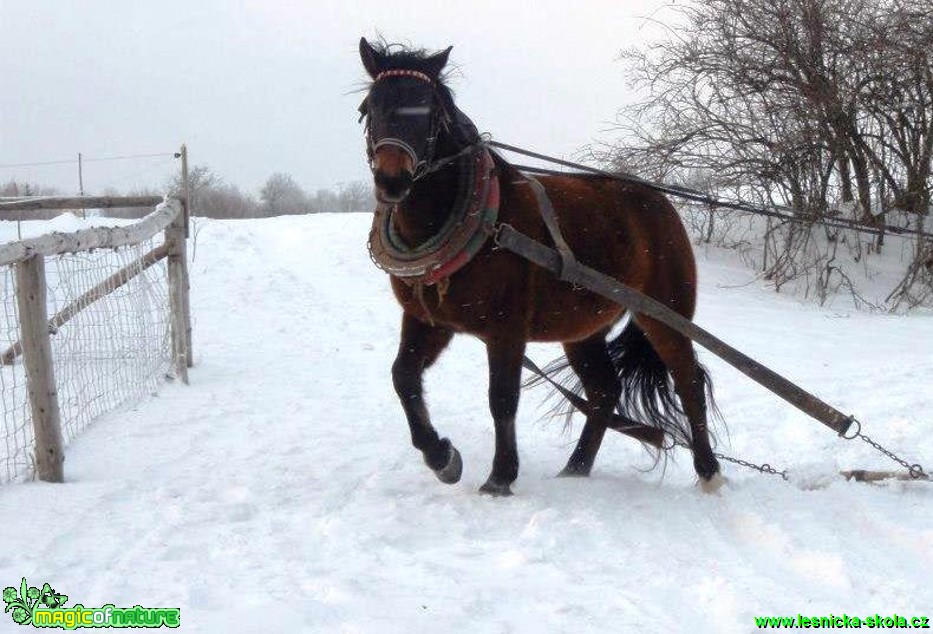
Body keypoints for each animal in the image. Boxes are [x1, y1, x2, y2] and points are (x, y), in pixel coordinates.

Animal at [356, 38, 720, 494]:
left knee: (688, 382)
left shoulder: (505, 329)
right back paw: (575, 469)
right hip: (583, 329)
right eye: (370, 106)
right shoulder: (428, 320)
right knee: (605, 390)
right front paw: (443, 457)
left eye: (429, 111)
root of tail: (661, 202)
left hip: (664, 315)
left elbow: (502, 399)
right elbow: (403, 377)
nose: (392, 181)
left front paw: (499, 478)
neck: (480, 220)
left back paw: (709, 473)